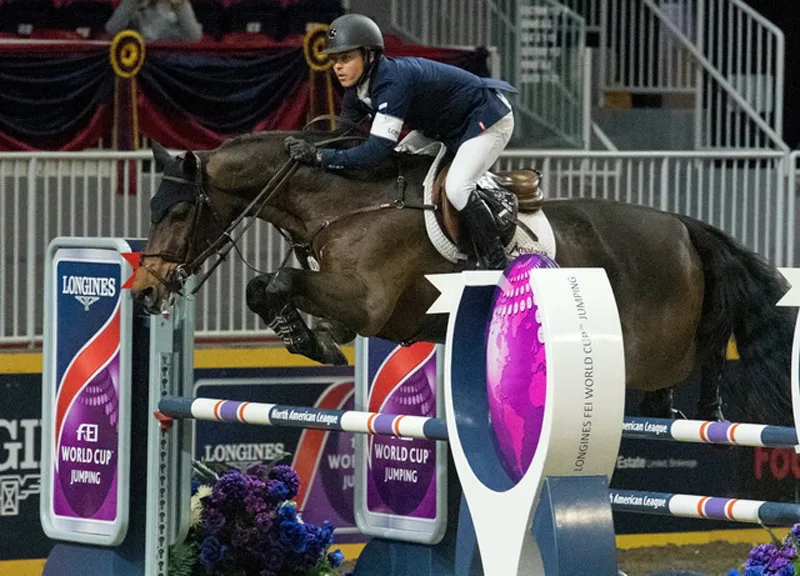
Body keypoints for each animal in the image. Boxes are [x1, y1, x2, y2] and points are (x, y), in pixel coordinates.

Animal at [128, 133, 796, 426]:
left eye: (178, 212)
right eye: (152, 210)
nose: (146, 292)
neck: (343, 202)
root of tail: (682, 224)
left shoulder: (368, 303)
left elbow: (278, 284)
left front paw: (308, 338)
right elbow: (265, 289)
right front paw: (307, 336)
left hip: (660, 342)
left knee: (707, 347)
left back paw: (709, 409)